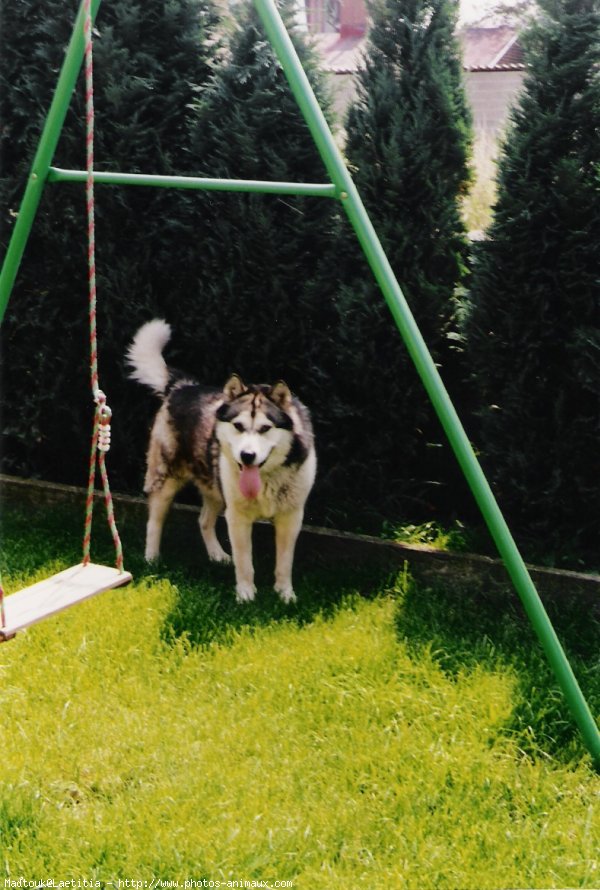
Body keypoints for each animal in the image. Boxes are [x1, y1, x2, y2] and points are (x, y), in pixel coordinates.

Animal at [125, 320, 316, 604]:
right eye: (238, 426)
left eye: (265, 428)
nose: (247, 456)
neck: (266, 479)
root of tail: (182, 386)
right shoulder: (237, 517)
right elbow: (245, 562)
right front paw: (246, 595)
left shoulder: (291, 518)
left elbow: (284, 562)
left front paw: (285, 594)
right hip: (166, 480)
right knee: (154, 522)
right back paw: (152, 559)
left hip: (214, 486)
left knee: (204, 520)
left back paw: (216, 555)